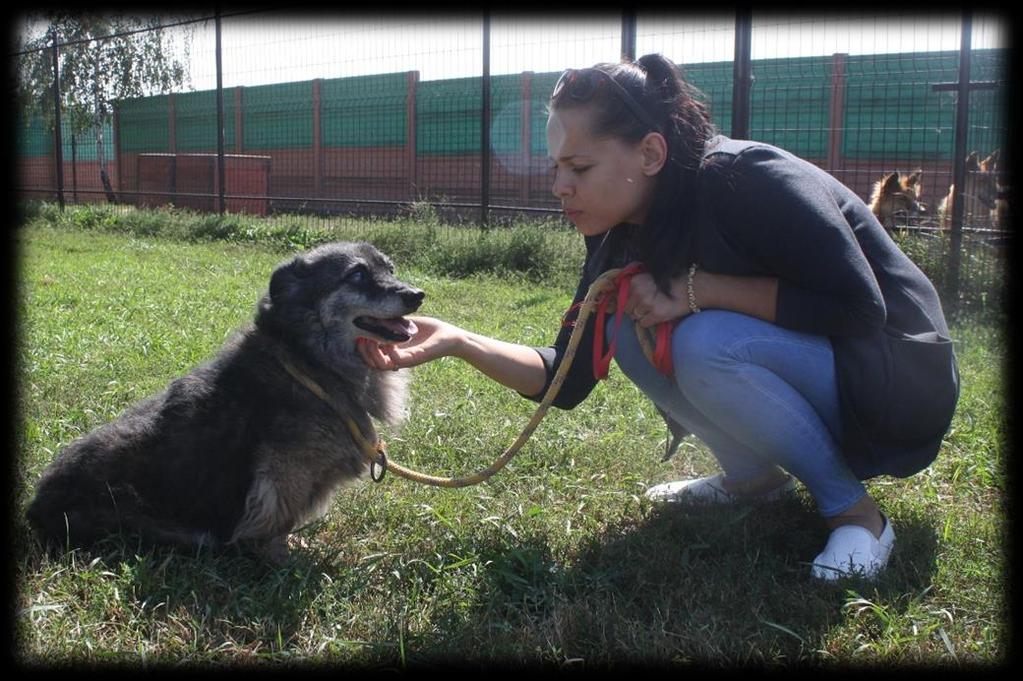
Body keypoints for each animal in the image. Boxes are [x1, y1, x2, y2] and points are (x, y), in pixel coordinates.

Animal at [24, 241, 423, 560]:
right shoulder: (283, 472)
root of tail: (37, 507)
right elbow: (275, 518)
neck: (306, 360)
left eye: (390, 269)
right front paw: (280, 554)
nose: (417, 294)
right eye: (357, 275)